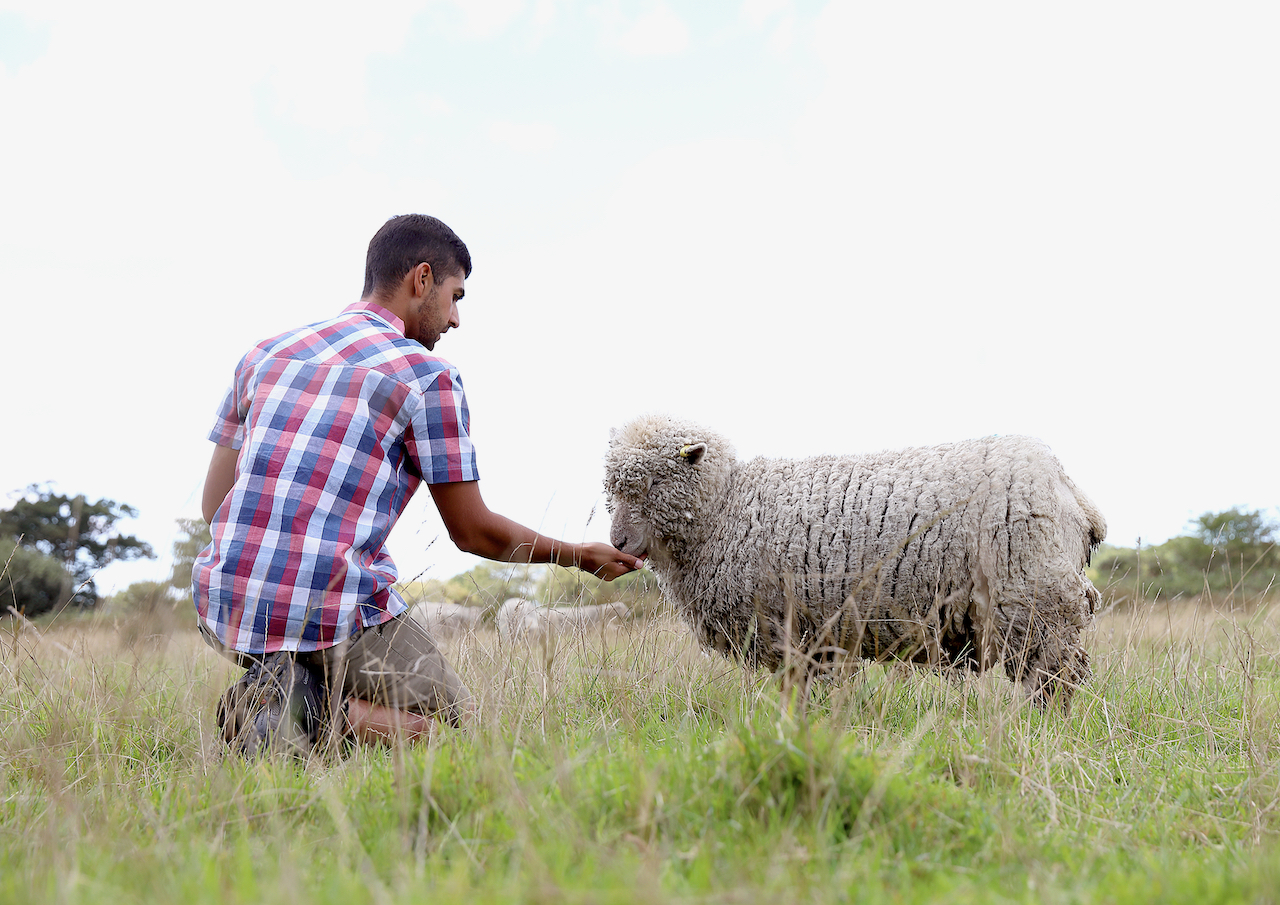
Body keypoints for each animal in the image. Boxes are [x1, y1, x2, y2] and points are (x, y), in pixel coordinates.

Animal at [604, 414, 1105, 706]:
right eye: (613, 488)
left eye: (655, 481)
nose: (619, 543)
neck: (725, 507)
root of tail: (1069, 489)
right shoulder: (815, 633)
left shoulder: (793, 626)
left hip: (1033, 597)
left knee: (1057, 675)